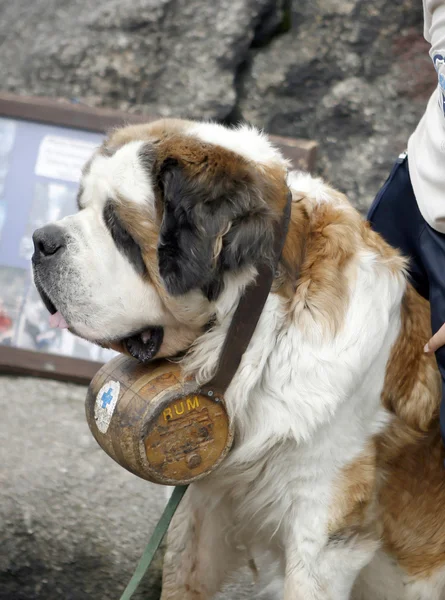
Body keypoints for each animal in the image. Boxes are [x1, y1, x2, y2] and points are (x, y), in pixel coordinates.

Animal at [31, 118, 444, 600]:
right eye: (81, 206)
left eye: (118, 228)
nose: (41, 240)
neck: (261, 335)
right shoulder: (200, 499)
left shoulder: (323, 532)